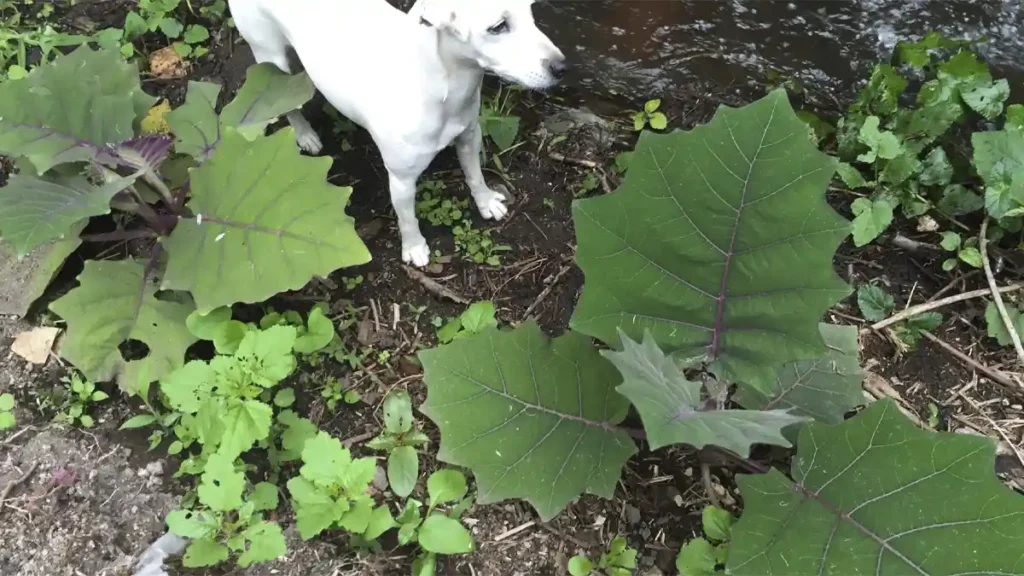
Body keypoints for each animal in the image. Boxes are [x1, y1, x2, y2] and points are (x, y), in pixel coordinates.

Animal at [226, 0, 569, 266]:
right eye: (498, 26)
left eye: (531, 12)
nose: (562, 67)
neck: (444, 86)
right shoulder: (401, 180)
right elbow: (407, 218)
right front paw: (414, 248)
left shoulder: (469, 136)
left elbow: (475, 175)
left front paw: (485, 202)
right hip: (270, 57)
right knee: (287, 104)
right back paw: (305, 134)